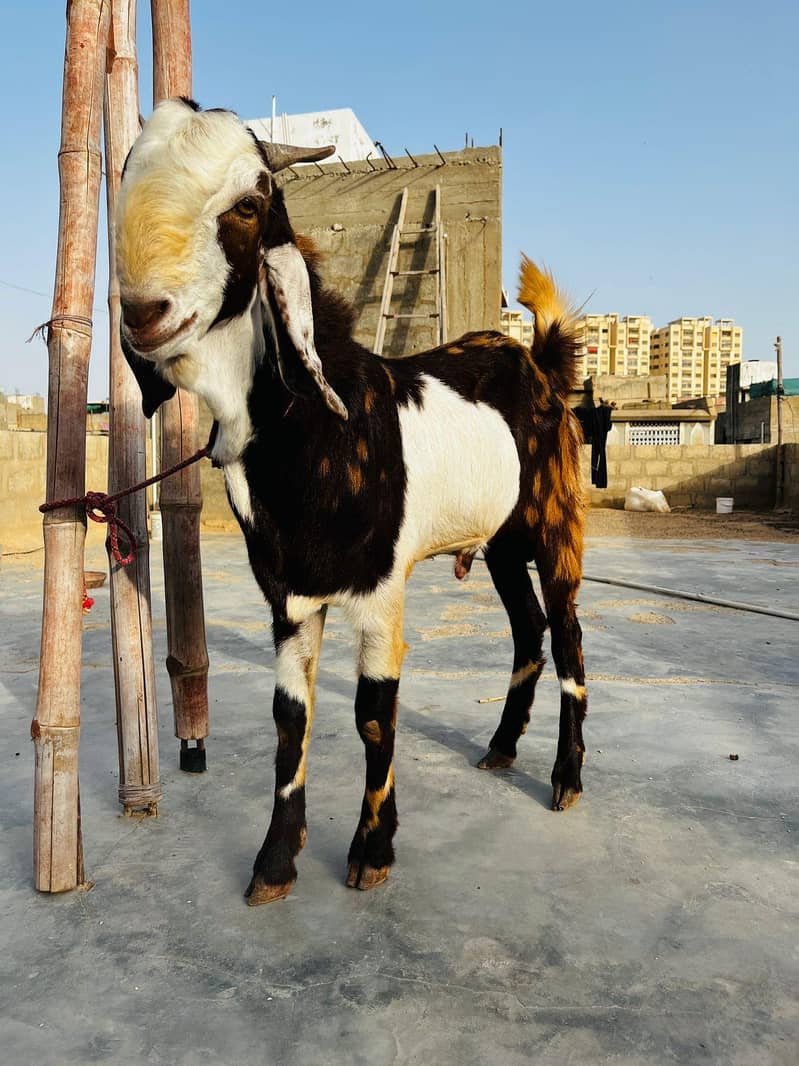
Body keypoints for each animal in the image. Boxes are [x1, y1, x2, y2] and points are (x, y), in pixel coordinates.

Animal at [116, 98, 587, 906]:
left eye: (249, 204)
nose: (145, 313)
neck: (319, 428)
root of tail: (539, 360)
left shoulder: (378, 592)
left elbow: (373, 716)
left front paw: (372, 851)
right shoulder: (290, 598)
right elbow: (289, 719)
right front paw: (275, 863)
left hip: (554, 522)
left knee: (566, 636)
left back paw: (565, 778)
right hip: (497, 542)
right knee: (527, 629)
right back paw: (499, 749)